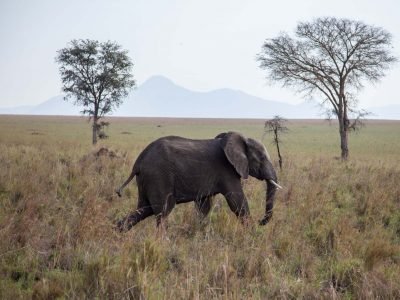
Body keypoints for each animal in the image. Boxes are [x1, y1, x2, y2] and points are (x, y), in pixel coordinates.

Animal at [115, 131, 282, 232]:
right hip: (158, 176)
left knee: (144, 209)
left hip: (147, 179)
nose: (261, 221)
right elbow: (237, 201)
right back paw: (163, 242)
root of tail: (138, 162)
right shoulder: (227, 170)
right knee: (162, 211)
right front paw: (252, 233)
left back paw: (117, 231)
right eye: (262, 158)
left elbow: (204, 206)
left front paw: (198, 232)